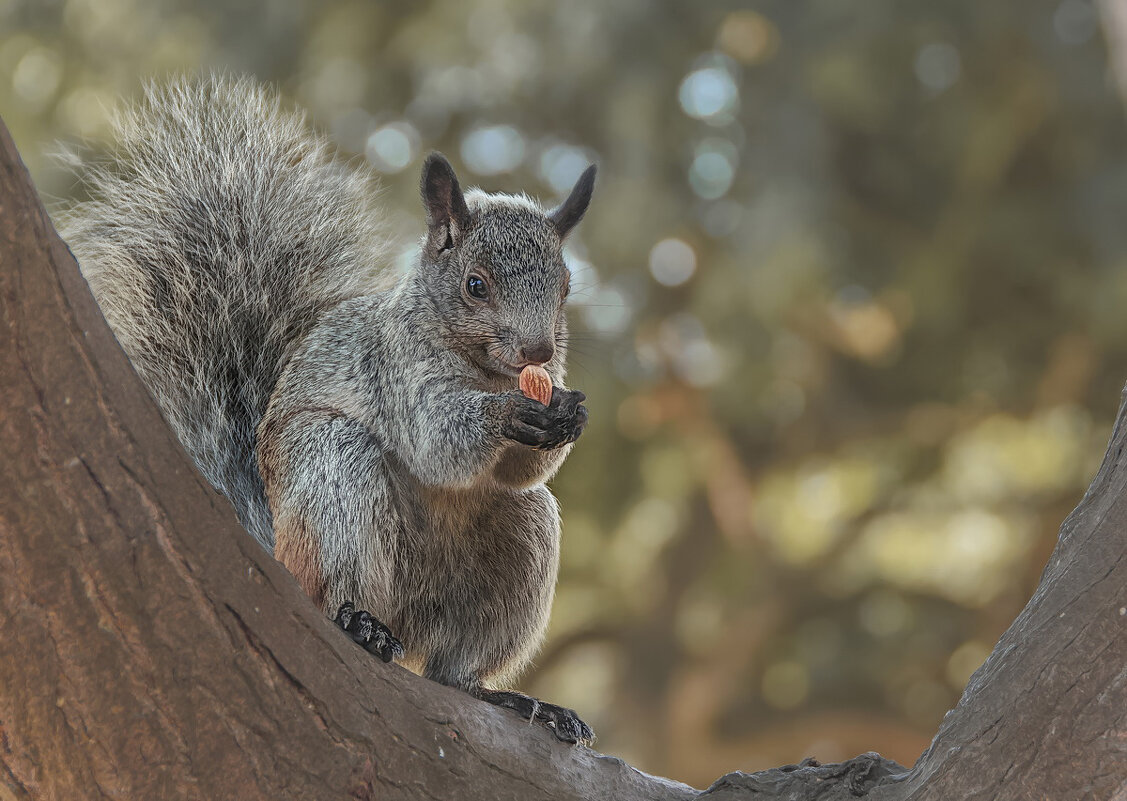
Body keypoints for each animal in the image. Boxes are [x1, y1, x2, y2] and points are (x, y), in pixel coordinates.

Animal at [59, 76, 599, 743]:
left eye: (566, 288)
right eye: (476, 284)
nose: (539, 351)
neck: (483, 370)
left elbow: (524, 470)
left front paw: (568, 416)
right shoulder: (393, 370)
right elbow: (436, 440)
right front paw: (505, 415)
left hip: (522, 540)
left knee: (454, 673)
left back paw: (513, 701)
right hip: (333, 478)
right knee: (337, 590)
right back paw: (357, 624)